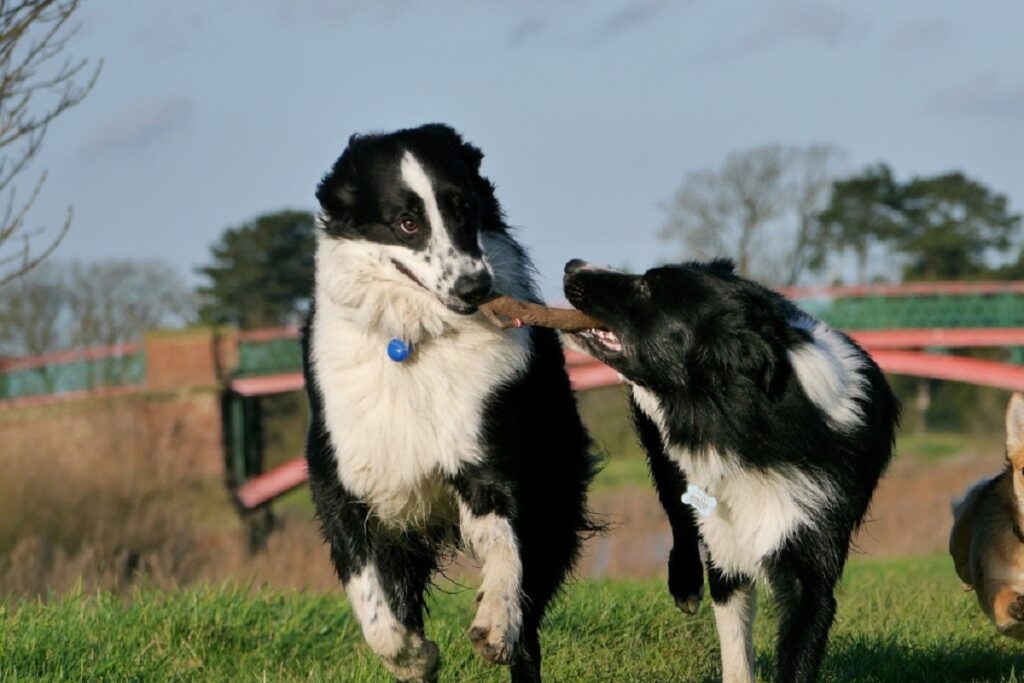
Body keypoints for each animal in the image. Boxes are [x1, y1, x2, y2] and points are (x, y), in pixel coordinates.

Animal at [299, 124, 598, 683]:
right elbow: (372, 603)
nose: (475, 286)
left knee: (531, 613)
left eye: (464, 207)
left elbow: (505, 555)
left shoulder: (491, 462)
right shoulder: (340, 480)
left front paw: (494, 624)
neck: (415, 339)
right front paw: (413, 657)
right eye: (407, 222)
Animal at [561, 259, 897, 679]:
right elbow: (736, 652)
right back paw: (685, 585)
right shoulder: (726, 542)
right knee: (678, 515)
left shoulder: (812, 556)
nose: (571, 265)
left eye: (648, 288)